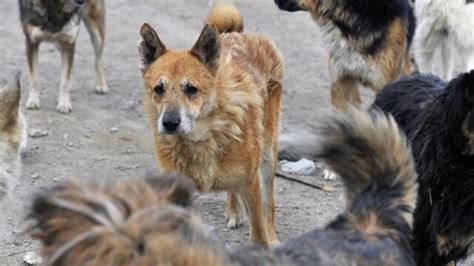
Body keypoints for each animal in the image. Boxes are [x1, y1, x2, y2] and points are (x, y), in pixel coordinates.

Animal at [139, 1, 284, 245]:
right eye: (158, 89)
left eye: (191, 89)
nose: (169, 123)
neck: (205, 136)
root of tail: (239, 34)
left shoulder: (251, 183)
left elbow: (259, 231)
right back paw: (233, 210)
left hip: (267, 155)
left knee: (269, 203)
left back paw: (273, 235)